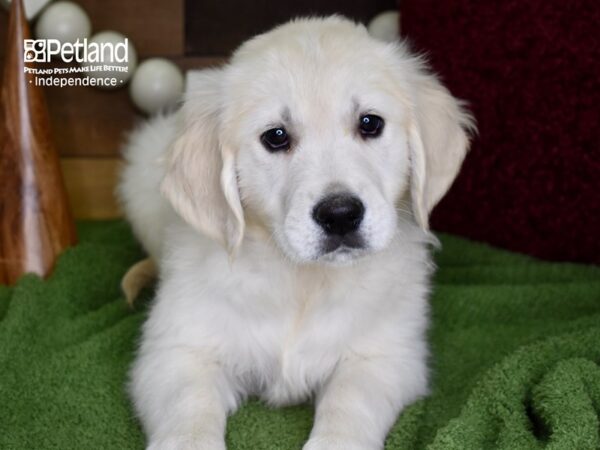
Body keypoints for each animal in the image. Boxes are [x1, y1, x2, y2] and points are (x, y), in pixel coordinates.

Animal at [120, 15, 474, 448]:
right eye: (276, 136)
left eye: (370, 123)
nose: (340, 215)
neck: (302, 281)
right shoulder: (176, 352)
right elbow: (189, 411)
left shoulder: (385, 357)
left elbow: (348, 406)